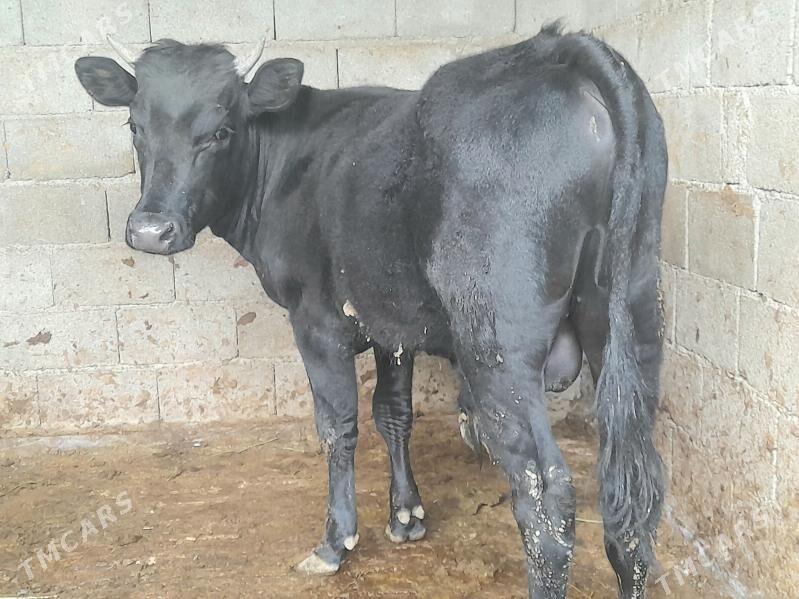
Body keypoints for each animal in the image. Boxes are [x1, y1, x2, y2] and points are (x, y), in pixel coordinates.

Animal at [74, 24, 666, 598]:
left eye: (220, 131)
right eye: (134, 125)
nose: (151, 230)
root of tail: (556, 50)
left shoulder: (316, 322)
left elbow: (338, 425)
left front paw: (336, 541)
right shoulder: (391, 322)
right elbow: (393, 413)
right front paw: (406, 516)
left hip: (498, 343)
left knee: (546, 496)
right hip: (632, 317)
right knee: (634, 491)